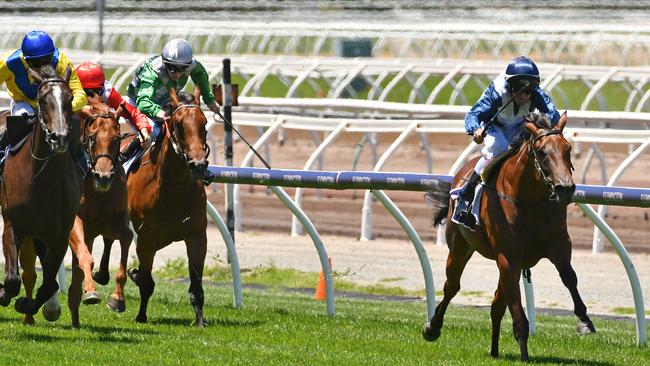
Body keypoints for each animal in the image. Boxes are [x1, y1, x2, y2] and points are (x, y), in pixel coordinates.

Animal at [0, 64, 83, 322]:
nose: (60, 138)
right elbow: (12, 279)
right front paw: (4, 294)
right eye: (43, 99)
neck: (43, 179)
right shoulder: (13, 224)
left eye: (69, 98)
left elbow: (49, 285)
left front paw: (29, 305)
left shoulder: (59, 235)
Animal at [64, 98, 133, 328]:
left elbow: (126, 238)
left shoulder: (115, 222)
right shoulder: (74, 223)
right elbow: (86, 258)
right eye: (93, 138)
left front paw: (117, 298)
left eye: (117, 138)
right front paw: (91, 293)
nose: (103, 176)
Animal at [124, 86, 210, 326]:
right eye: (179, 125)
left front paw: (200, 321)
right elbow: (146, 282)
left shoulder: (197, 236)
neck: (173, 188)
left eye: (204, 123)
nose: (198, 165)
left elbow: (196, 285)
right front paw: (141, 315)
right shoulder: (145, 240)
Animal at [420, 113, 592, 360]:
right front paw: (524, 354)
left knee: (496, 303)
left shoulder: (559, 246)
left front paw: (585, 321)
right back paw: (432, 327)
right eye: (542, 152)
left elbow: (569, 277)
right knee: (452, 286)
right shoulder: (508, 257)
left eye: (567, 149)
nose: (565, 188)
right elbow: (516, 307)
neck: (529, 201)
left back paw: (494, 350)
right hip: (460, 247)